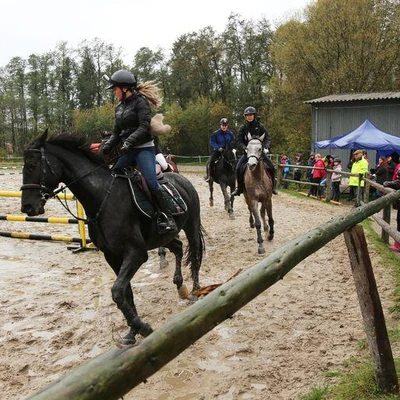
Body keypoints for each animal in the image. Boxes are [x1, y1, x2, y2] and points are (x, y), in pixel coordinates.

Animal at [20, 130, 205, 344]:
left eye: (32, 165)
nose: (27, 207)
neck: (102, 196)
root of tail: (182, 179)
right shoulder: (112, 256)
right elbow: (126, 293)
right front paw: (132, 332)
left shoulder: (136, 254)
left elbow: (117, 292)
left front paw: (142, 327)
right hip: (163, 237)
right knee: (177, 247)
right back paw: (180, 286)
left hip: (191, 226)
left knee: (195, 255)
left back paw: (195, 291)